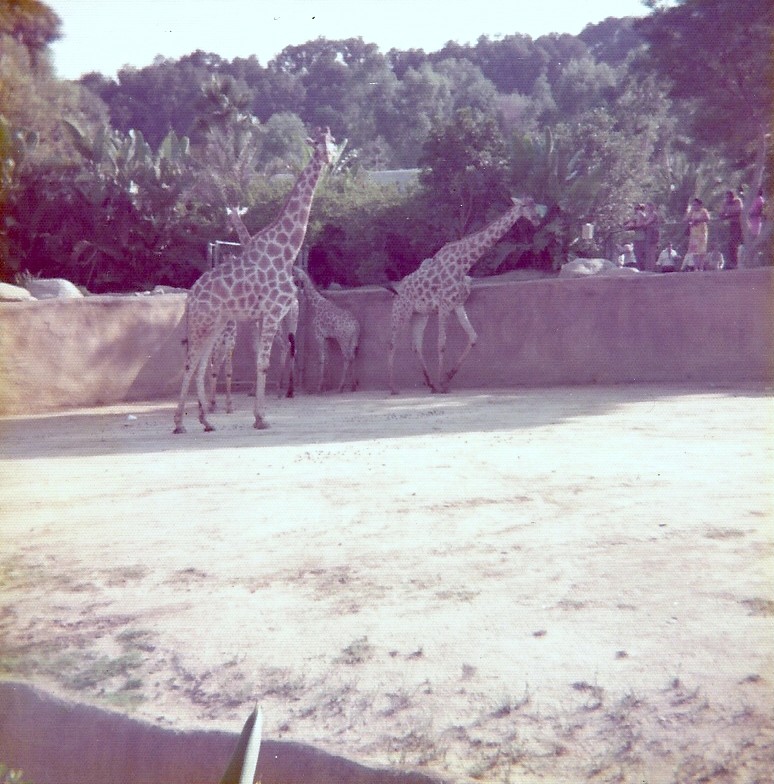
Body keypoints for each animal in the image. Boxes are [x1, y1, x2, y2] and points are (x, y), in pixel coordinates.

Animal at [173, 127, 336, 433]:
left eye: (332, 143)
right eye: (317, 145)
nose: (329, 159)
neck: (286, 250)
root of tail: (190, 296)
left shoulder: (265, 315)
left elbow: (264, 361)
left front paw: (258, 414)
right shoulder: (271, 312)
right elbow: (262, 363)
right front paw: (261, 418)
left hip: (217, 324)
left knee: (201, 365)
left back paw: (206, 421)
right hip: (203, 322)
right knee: (190, 363)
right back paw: (179, 423)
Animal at [387, 197, 539, 394]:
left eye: (535, 204)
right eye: (525, 206)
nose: (536, 220)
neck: (464, 263)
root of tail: (397, 290)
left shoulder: (457, 305)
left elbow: (473, 337)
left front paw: (445, 380)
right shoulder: (444, 306)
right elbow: (442, 343)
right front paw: (442, 384)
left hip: (420, 314)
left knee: (416, 345)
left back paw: (430, 384)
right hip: (401, 311)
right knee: (392, 343)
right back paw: (393, 387)